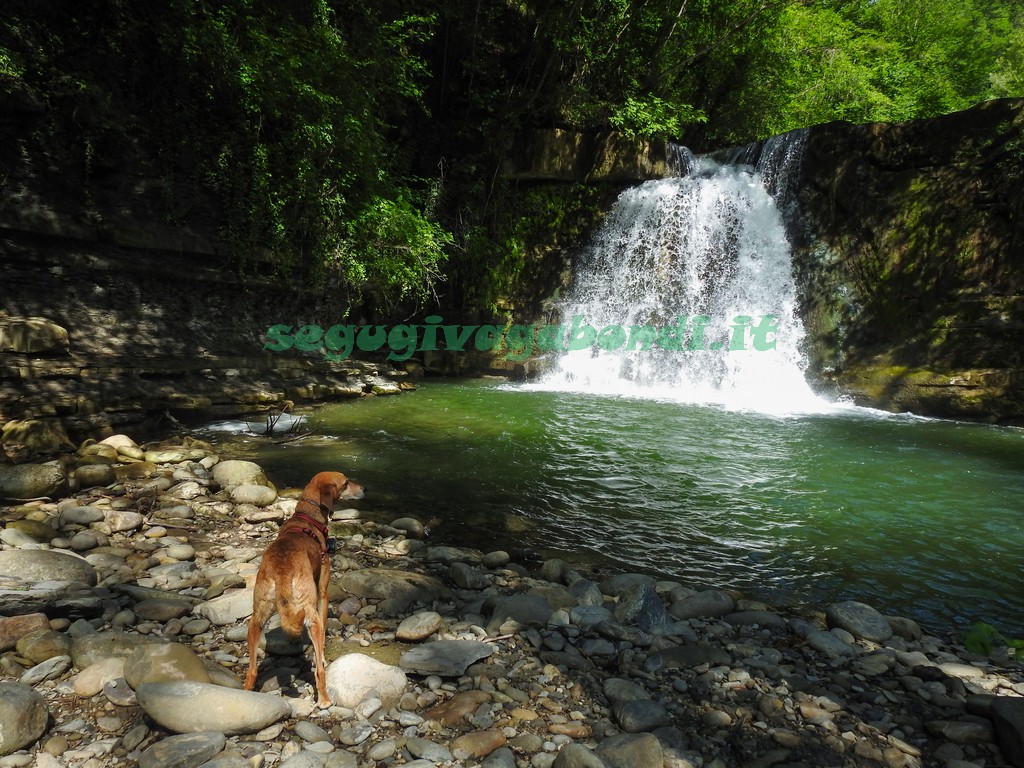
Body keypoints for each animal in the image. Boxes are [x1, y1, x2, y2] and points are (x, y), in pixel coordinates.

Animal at [243, 473, 364, 708]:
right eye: (346, 482)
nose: (364, 488)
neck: (308, 519)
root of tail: (281, 570)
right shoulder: (323, 593)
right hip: (311, 615)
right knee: (319, 671)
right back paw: (324, 700)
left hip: (256, 618)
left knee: (252, 670)